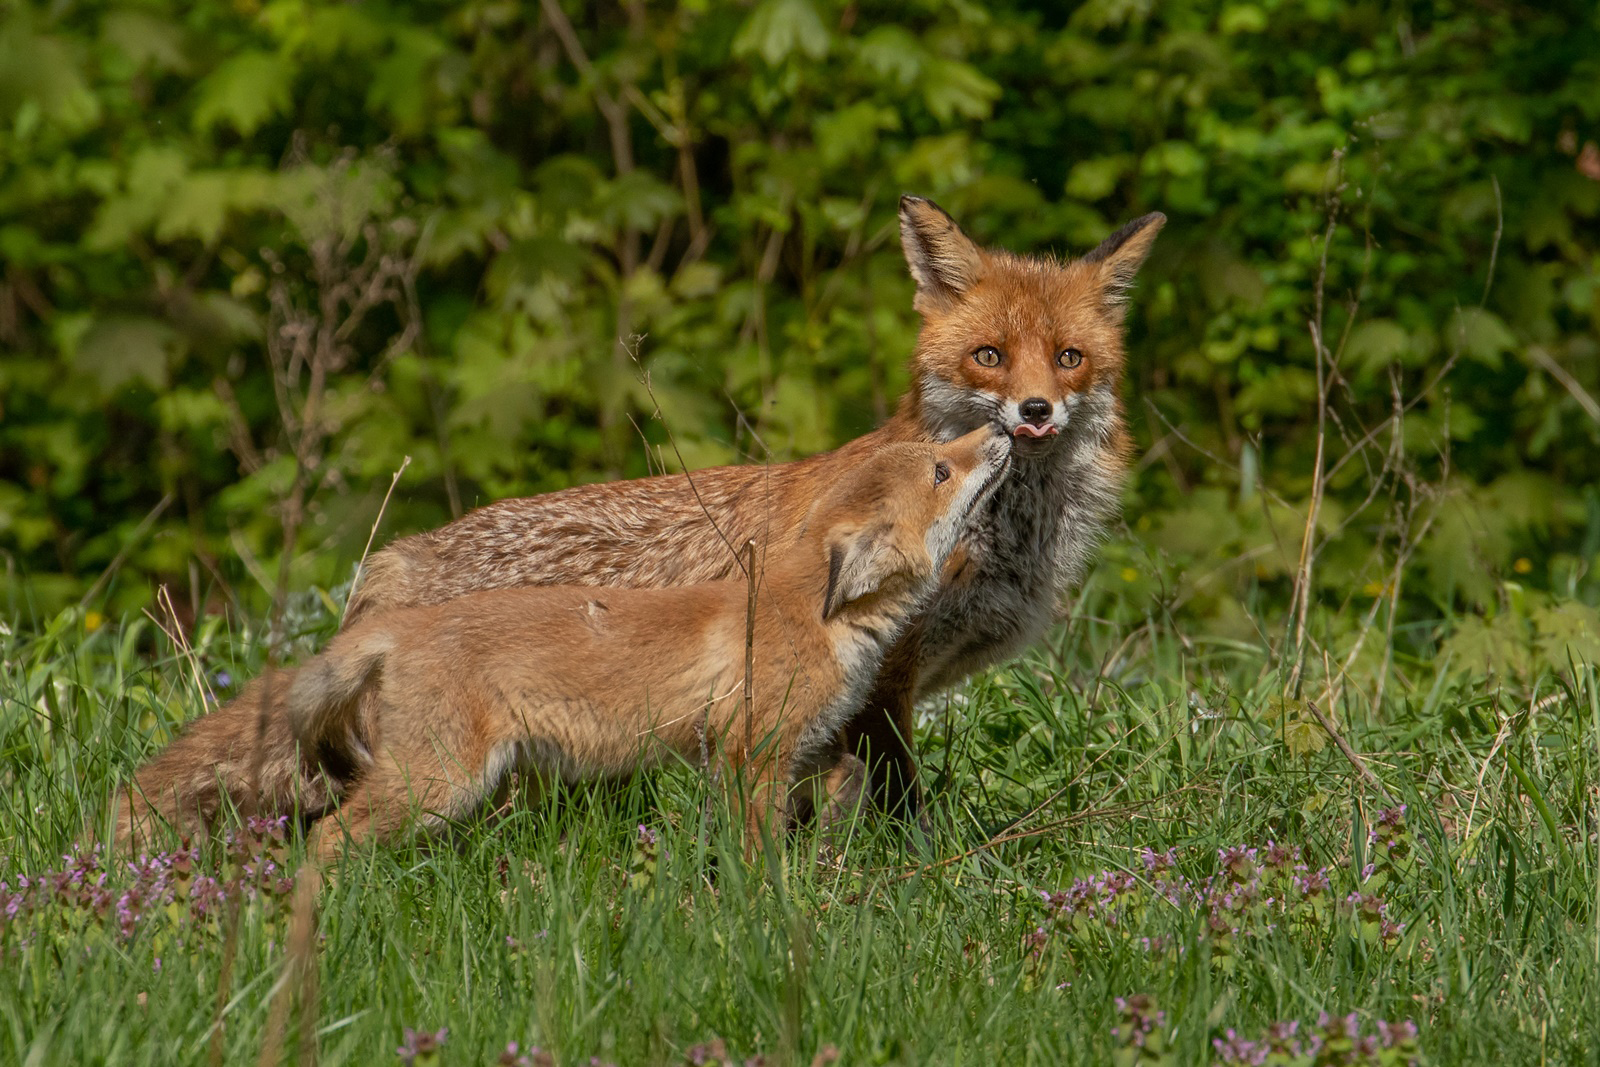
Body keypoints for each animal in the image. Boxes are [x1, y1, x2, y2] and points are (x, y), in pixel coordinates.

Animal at [116, 428, 1011, 857]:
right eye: (941, 469)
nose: (1005, 427)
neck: (813, 615)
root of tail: (391, 623)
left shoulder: (798, 748)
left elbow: (843, 788)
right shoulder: (747, 754)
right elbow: (757, 849)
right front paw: (764, 904)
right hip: (440, 783)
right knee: (329, 835)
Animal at [334, 199, 1164, 819]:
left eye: (1069, 358)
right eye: (989, 355)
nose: (1034, 411)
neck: (997, 540)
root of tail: (393, 557)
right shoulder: (881, 685)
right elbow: (899, 809)